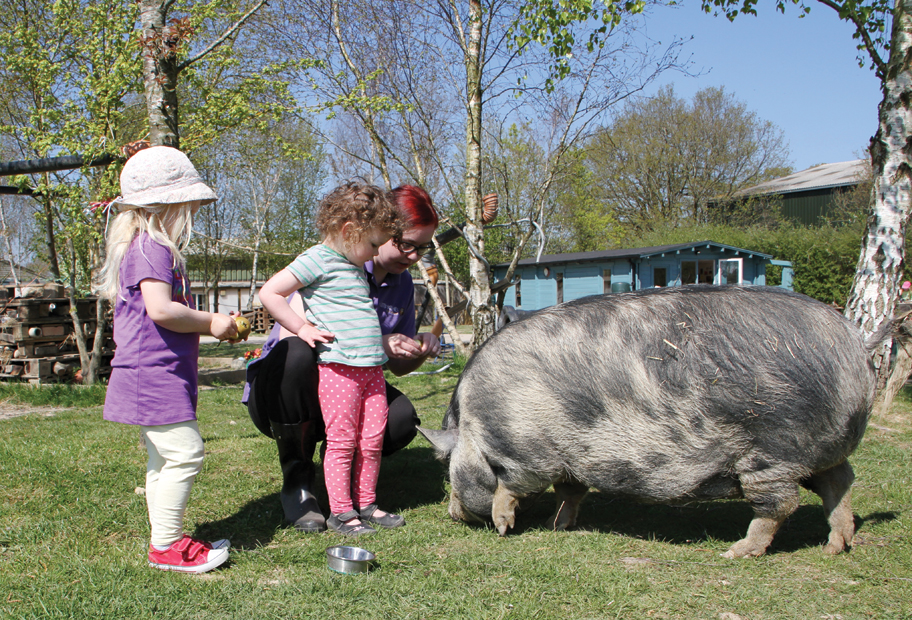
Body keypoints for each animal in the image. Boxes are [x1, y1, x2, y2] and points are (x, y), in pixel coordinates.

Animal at [422, 284, 884, 556]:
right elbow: (570, 493)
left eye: (447, 467)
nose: (452, 514)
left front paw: (504, 526)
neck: (476, 427)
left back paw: (736, 551)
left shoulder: (530, 453)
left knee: (782, 505)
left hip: (774, 452)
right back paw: (836, 547)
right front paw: (557, 527)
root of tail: (855, 343)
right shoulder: (572, 460)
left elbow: (512, 489)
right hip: (818, 449)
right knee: (841, 482)